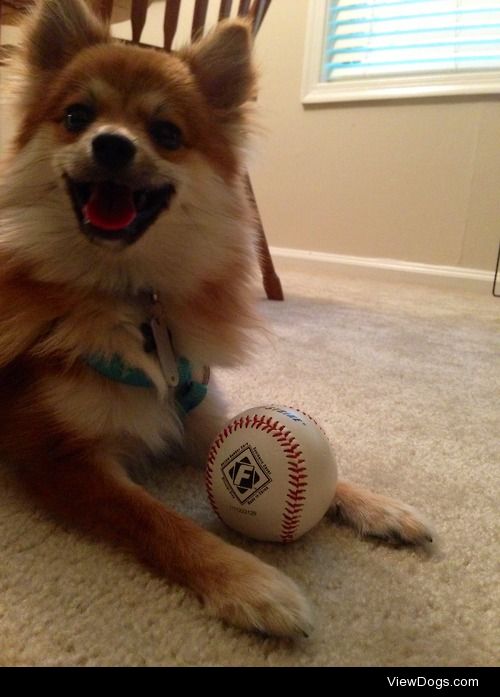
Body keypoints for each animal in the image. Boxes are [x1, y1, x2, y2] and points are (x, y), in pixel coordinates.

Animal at [0, 0, 434, 636]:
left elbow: (325, 472)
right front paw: (250, 583)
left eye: (167, 134)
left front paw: (377, 506)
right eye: (77, 117)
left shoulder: (199, 409)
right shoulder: (59, 456)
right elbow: (157, 519)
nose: (111, 145)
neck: (134, 299)